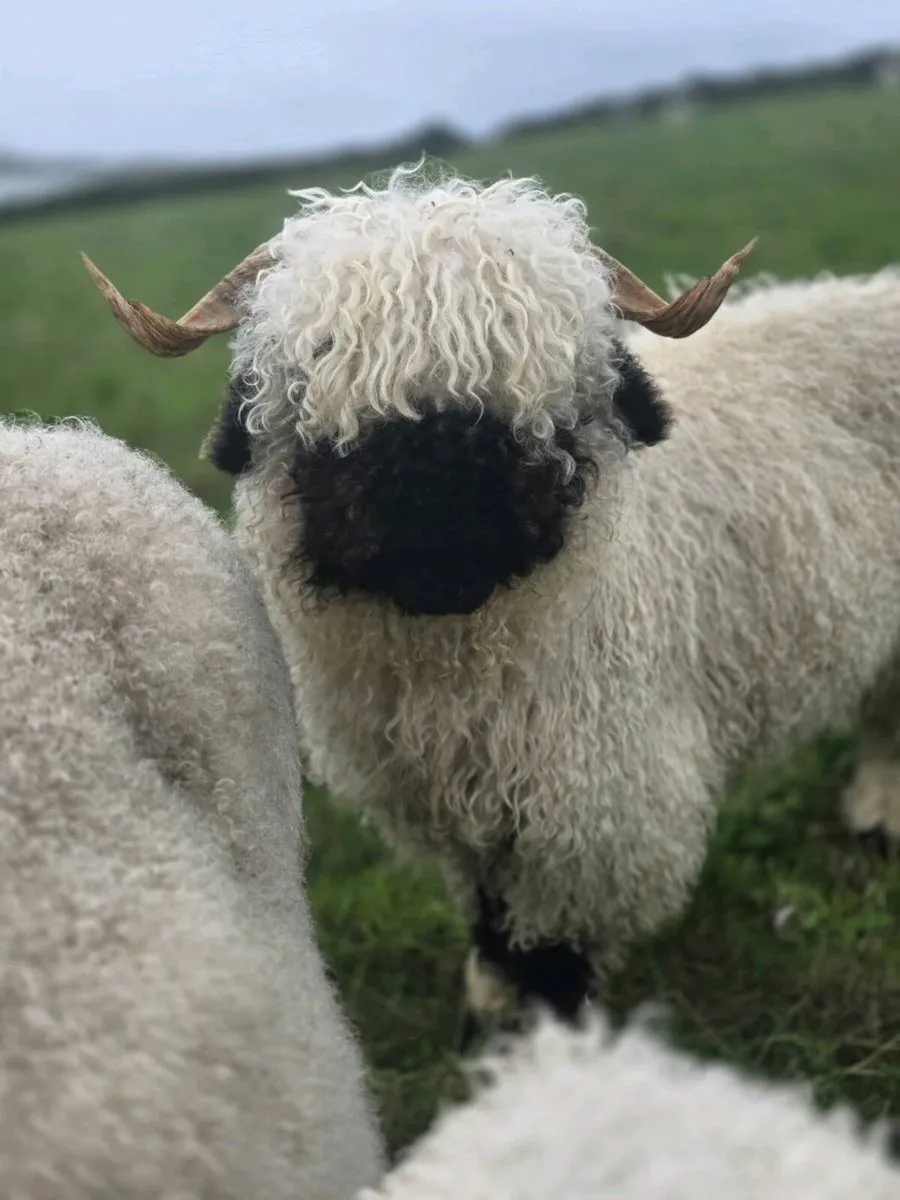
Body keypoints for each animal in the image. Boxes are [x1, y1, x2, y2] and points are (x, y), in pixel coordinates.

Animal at [81, 161, 900, 1028]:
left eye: (552, 394)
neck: (459, 675)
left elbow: (553, 943)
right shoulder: (458, 802)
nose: (438, 520)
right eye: (314, 376)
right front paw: (493, 986)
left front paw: (546, 1029)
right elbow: (488, 905)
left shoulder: (599, 805)